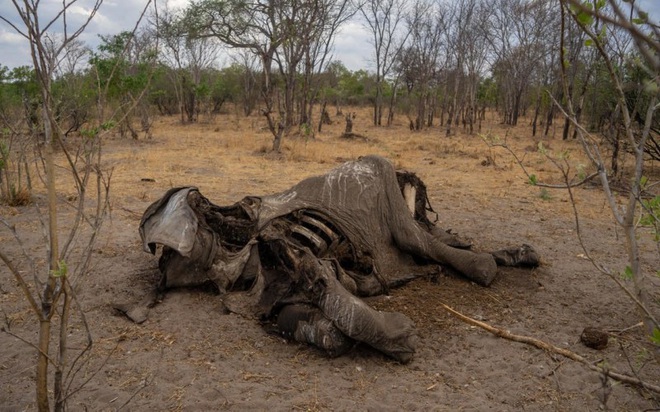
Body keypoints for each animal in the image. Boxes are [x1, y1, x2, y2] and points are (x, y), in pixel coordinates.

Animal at [126, 155, 540, 364]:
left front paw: (396, 337)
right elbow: (326, 328)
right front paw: (395, 335)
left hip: (386, 187)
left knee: (425, 239)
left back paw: (502, 259)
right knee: (430, 239)